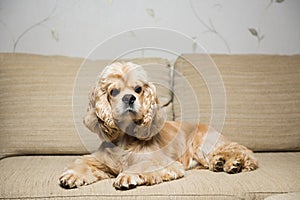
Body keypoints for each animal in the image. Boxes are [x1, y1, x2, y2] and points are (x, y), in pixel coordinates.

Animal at [59, 61, 258, 190]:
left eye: (138, 89)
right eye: (113, 91)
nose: (129, 98)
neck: (125, 140)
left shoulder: (165, 163)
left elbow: (141, 166)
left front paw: (127, 176)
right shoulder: (99, 160)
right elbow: (83, 162)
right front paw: (72, 175)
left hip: (203, 145)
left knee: (244, 152)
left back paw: (234, 164)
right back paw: (220, 163)